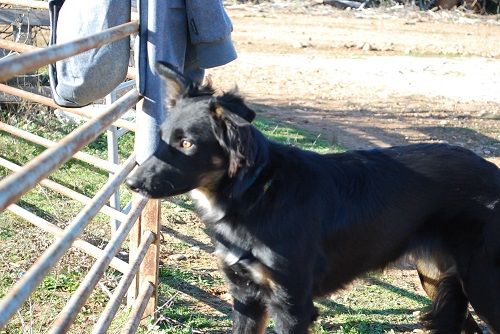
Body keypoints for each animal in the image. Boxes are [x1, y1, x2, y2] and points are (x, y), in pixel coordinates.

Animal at [128, 63, 500, 334]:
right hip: (441, 280)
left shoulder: (292, 304)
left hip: (483, 284)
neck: (255, 193)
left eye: (187, 143)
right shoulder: (246, 295)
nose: (132, 183)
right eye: (163, 137)